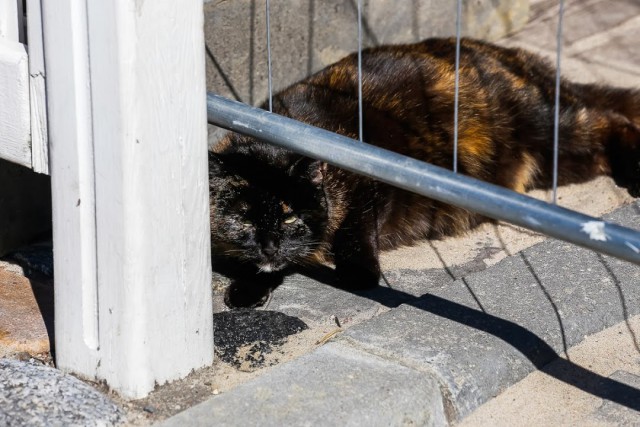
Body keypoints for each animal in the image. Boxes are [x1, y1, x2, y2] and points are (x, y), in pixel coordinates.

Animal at [209, 37, 640, 308]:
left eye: (289, 215)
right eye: (245, 218)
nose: (269, 246)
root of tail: (513, 54)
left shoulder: (370, 176)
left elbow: (355, 229)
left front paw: (358, 273)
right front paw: (248, 288)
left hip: (548, 126)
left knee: (609, 119)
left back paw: (636, 170)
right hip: (557, 162)